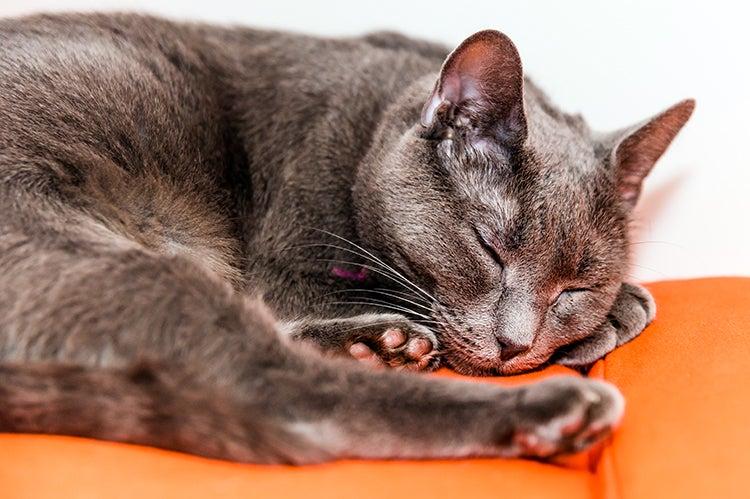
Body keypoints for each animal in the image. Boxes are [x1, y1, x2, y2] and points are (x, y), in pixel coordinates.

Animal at [0, 12, 696, 464]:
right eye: (489, 248)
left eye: (575, 287)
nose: (514, 344)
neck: (371, 124)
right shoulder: (284, 259)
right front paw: (623, 310)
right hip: (131, 264)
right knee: (283, 396)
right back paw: (549, 407)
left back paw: (384, 345)